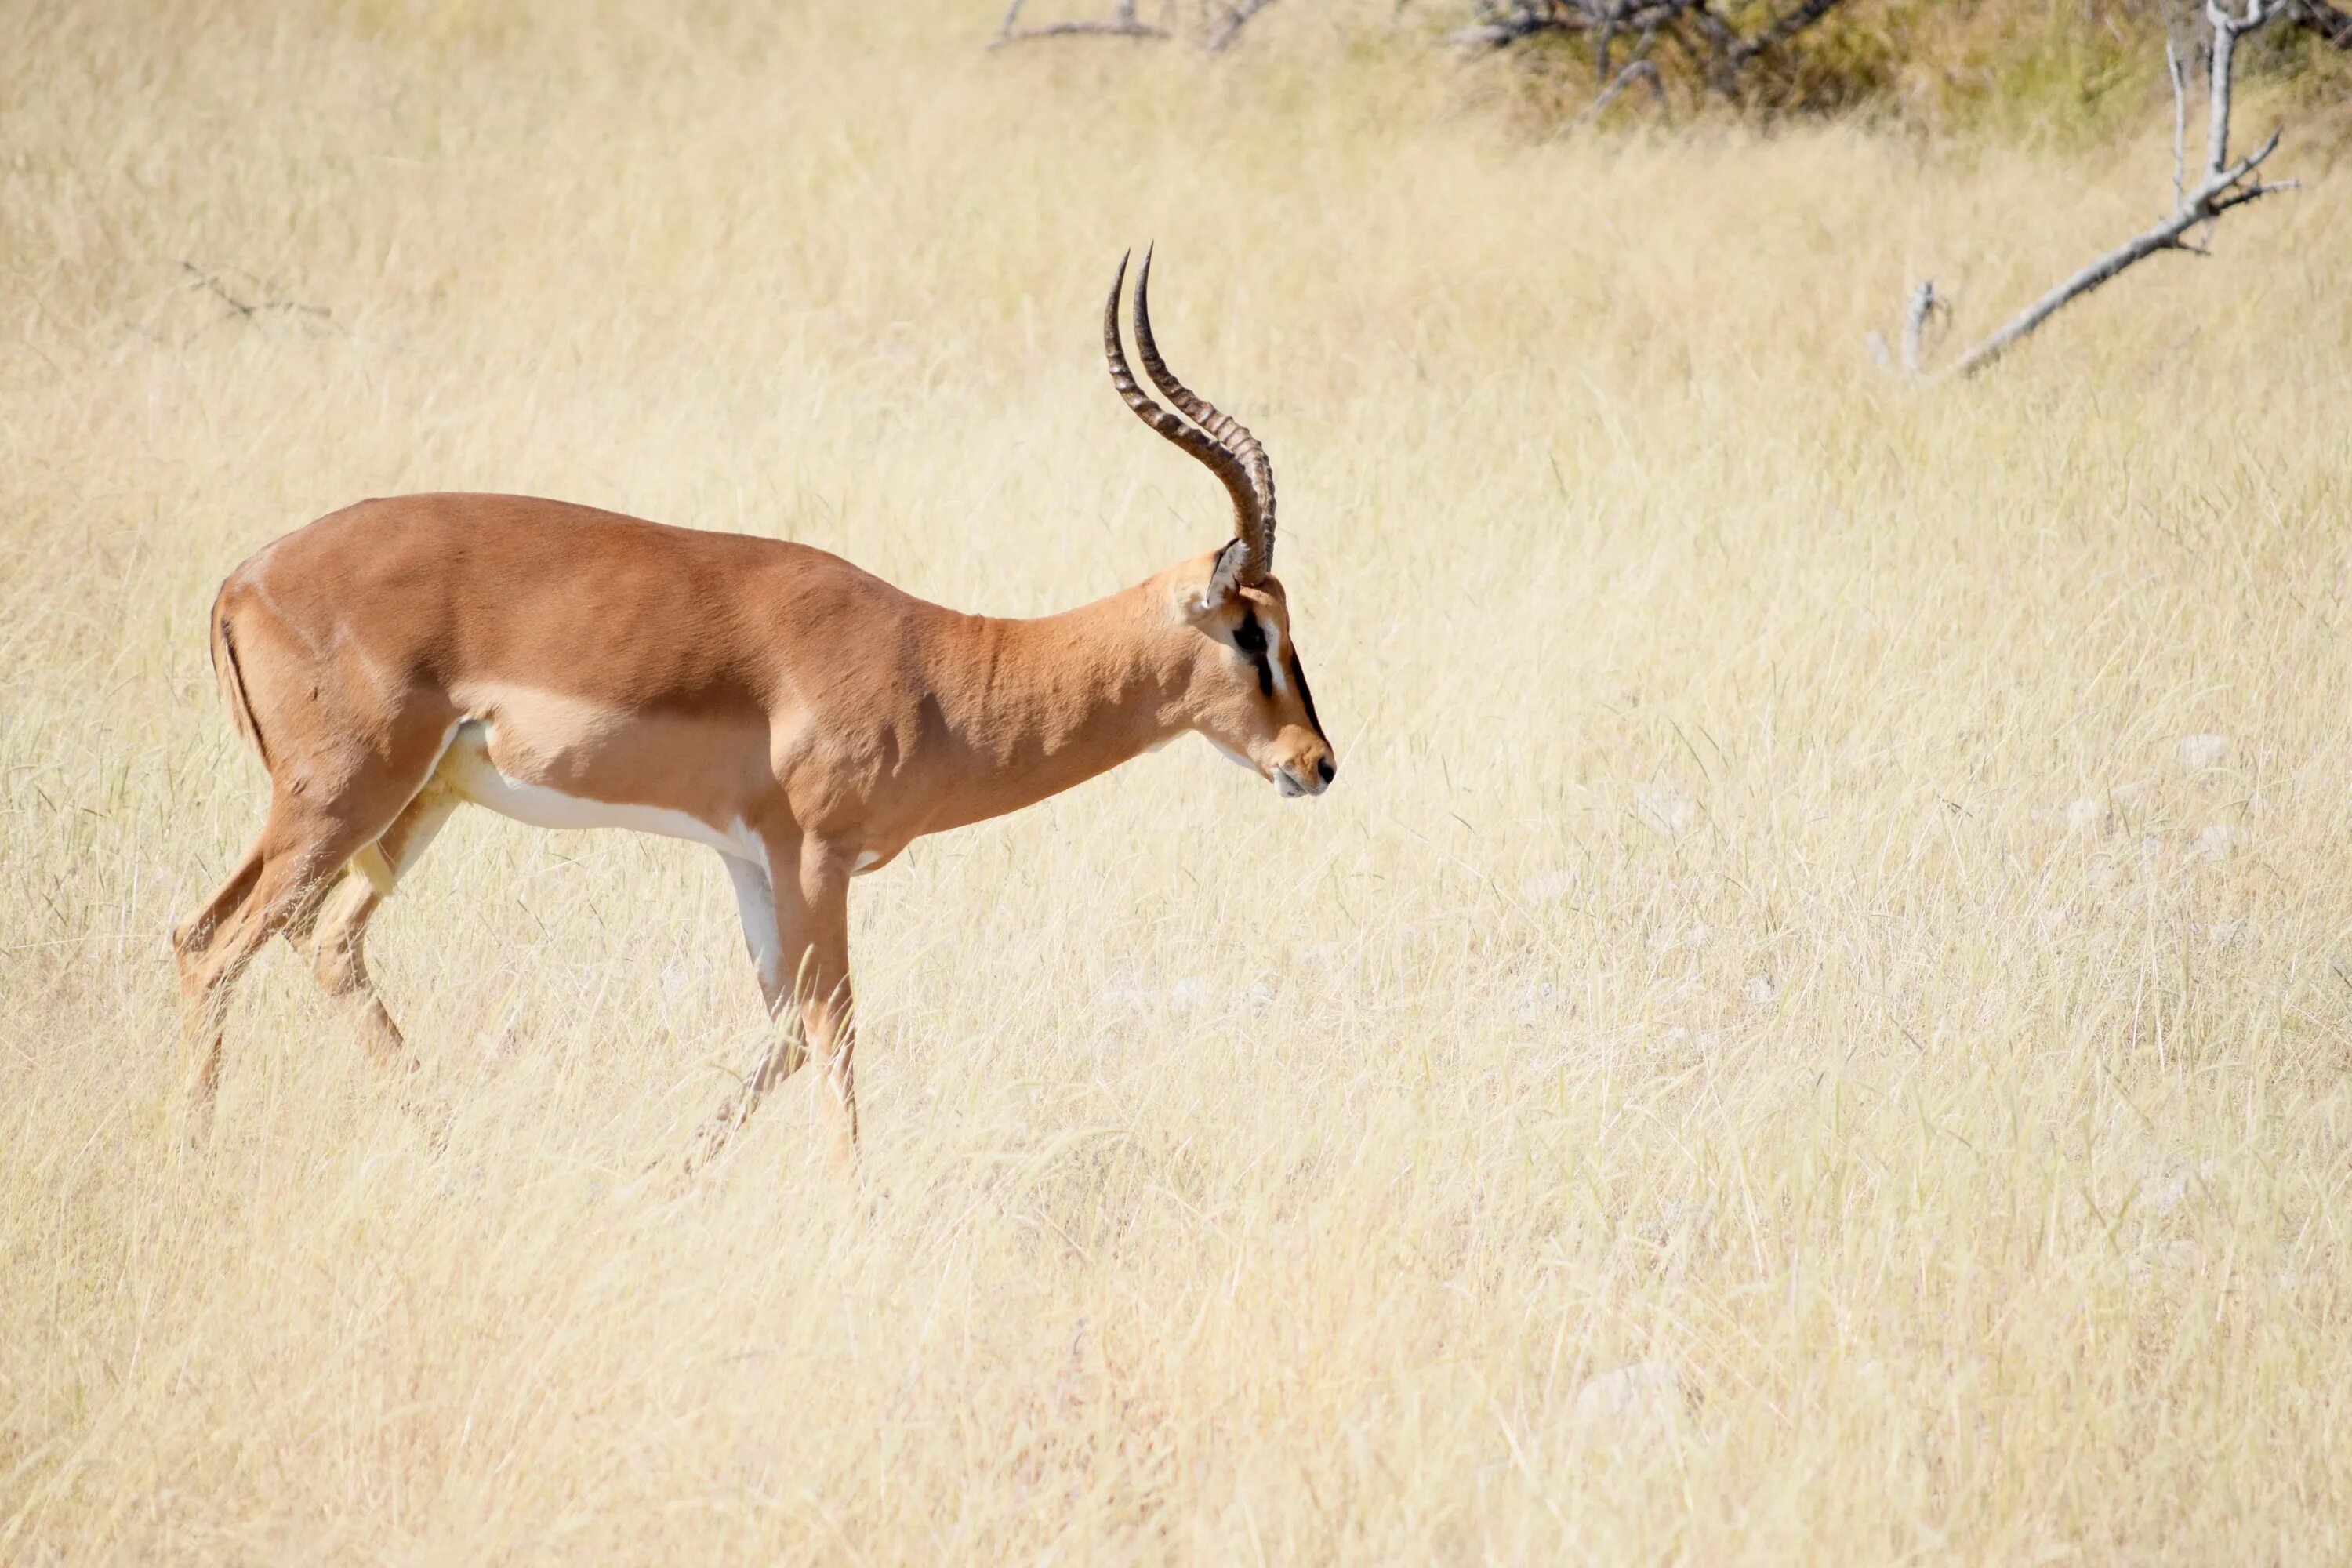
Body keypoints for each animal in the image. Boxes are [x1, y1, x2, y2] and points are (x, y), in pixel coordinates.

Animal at [172, 255, 1336, 1166]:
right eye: (1252, 630)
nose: (1317, 763)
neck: (942, 667)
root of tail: (241, 577)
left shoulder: (748, 858)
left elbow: (780, 1032)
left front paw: (668, 1175)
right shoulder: (817, 857)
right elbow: (836, 1026)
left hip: (405, 804)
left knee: (305, 941)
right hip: (342, 799)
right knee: (212, 946)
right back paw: (198, 1159)